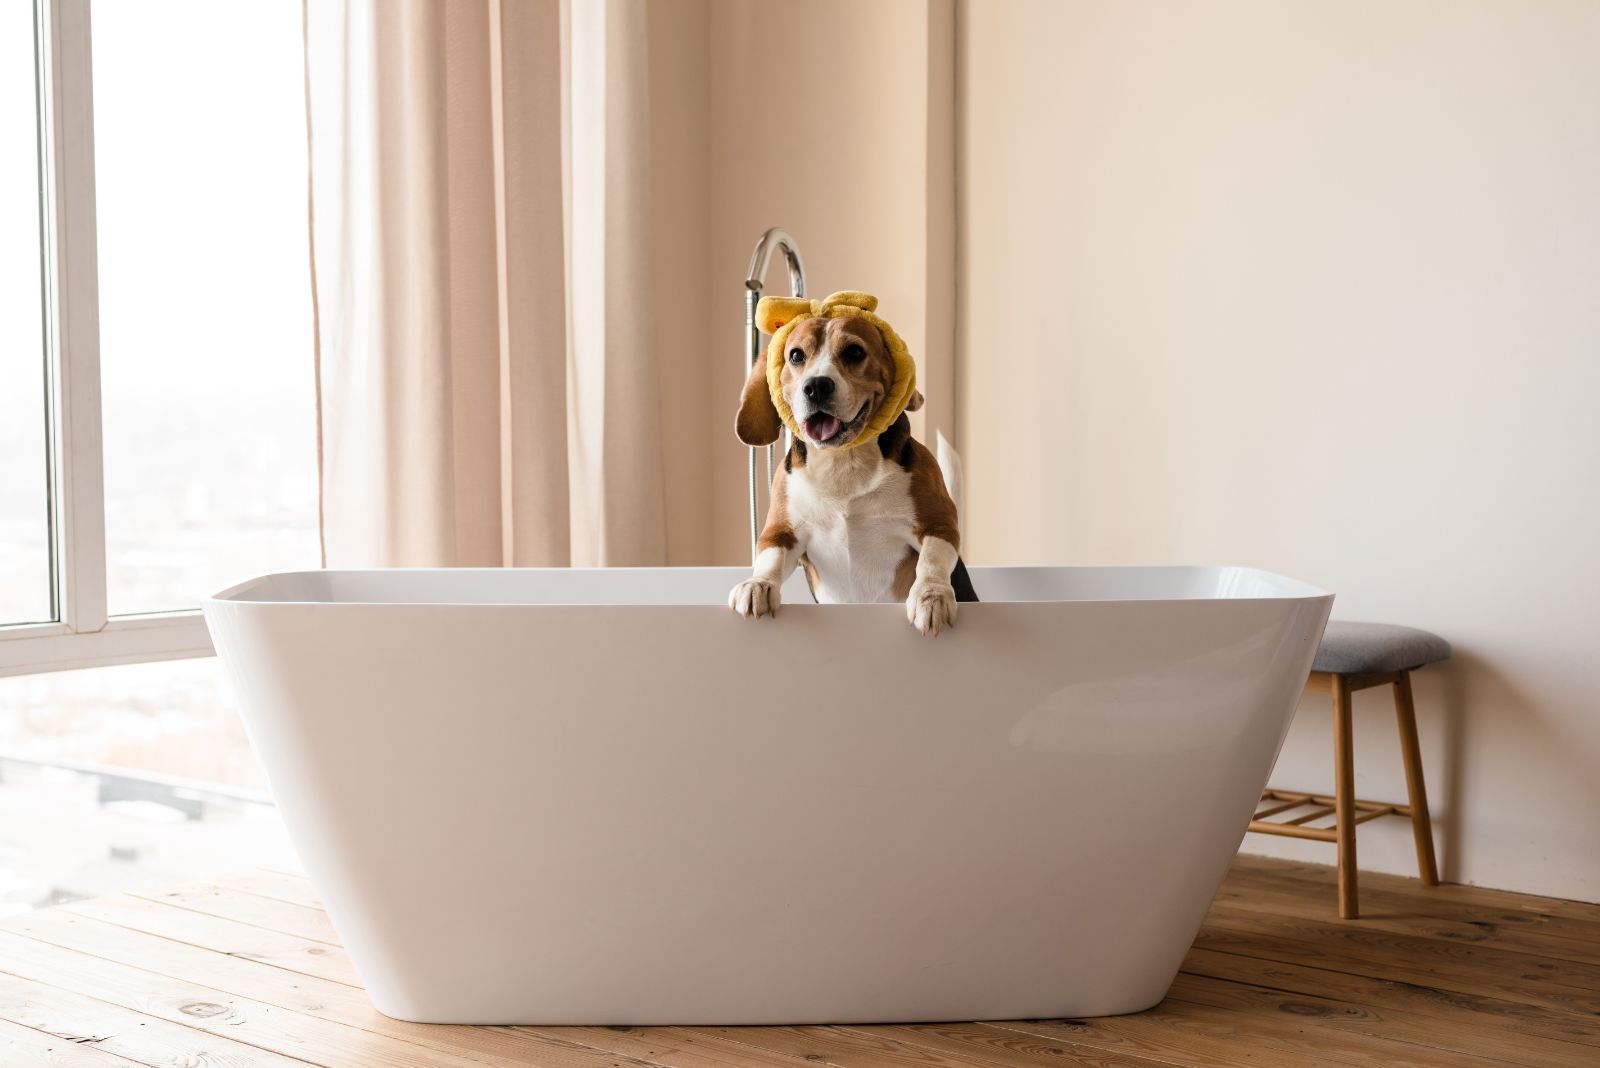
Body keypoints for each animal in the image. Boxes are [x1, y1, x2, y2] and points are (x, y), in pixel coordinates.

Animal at [729, 308, 972, 629]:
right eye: (796, 356)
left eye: (854, 352)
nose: (816, 387)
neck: (844, 460)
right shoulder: (780, 531)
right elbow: (770, 559)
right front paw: (757, 584)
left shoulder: (939, 523)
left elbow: (931, 561)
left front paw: (932, 596)